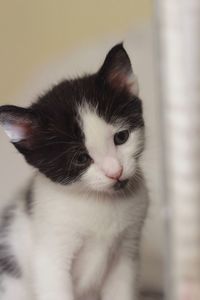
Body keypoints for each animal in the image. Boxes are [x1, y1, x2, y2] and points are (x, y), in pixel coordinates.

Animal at [0, 44, 148, 300]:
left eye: (122, 137)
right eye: (80, 159)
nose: (115, 171)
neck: (98, 202)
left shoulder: (127, 251)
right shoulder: (50, 257)